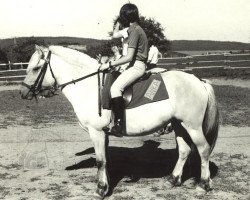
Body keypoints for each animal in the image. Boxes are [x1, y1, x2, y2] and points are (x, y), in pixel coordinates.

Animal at [20, 45, 219, 198]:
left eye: (36, 68)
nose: (23, 92)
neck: (89, 86)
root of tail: (199, 81)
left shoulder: (96, 132)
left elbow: (100, 161)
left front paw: (100, 190)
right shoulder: (104, 133)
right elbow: (106, 160)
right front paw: (106, 185)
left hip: (192, 126)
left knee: (203, 150)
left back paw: (203, 185)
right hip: (179, 125)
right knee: (184, 150)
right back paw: (173, 179)